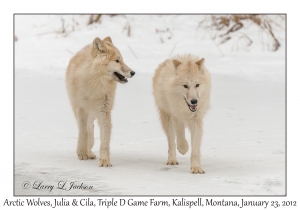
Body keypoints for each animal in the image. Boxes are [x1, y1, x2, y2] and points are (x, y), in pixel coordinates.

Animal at [67, 36, 136, 167]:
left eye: (122, 60)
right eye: (117, 61)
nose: (133, 72)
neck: (97, 83)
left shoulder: (104, 111)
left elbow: (104, 139)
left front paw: (105, 161)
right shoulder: (82, 109)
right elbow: (84, 132)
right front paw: (82, 153)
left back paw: (89, 152)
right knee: (87, 130)